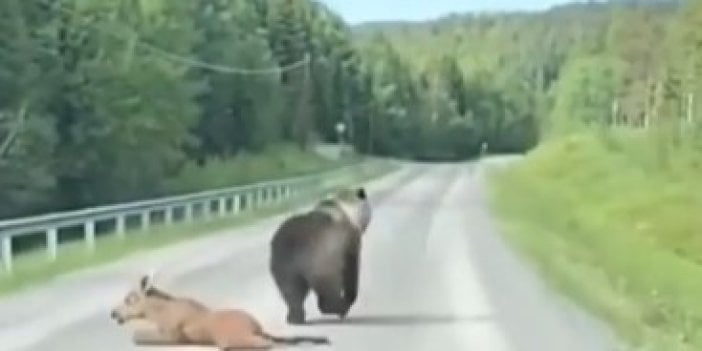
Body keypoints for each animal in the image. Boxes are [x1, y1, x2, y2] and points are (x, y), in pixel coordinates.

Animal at [110, 274, 332, 350]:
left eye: (129, 299)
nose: (113, 313)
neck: (156, 312)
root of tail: (256, 327)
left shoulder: (173, 335)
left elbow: (137, 335)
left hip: (233, 339)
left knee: (268, 344)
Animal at [268, 188, 372, 326]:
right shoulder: (349, 241)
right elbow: (351, 270)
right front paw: (350, 297)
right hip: (321, 259)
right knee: (328, 288)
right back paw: (340, 308)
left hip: (283, 262)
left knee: (290, 291)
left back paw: (294, 318)